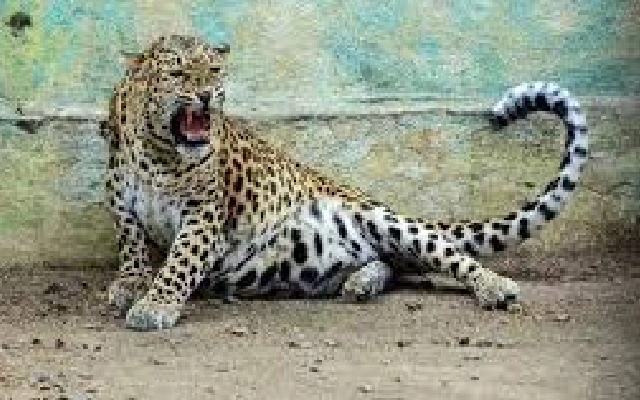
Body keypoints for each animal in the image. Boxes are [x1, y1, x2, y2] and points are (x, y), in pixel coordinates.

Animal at [100, 34, 588, 331]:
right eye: (179, 73)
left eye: (214, 72)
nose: (206, 95)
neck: (158, 152)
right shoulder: (122, 204)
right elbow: (131, 246)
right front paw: (130, 285)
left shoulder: (203, 213)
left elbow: (180, 260)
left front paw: (155, 305)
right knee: (391, 263)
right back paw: (361, 283)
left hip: (384, 221)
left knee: (448, 255)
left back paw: (495, 287)